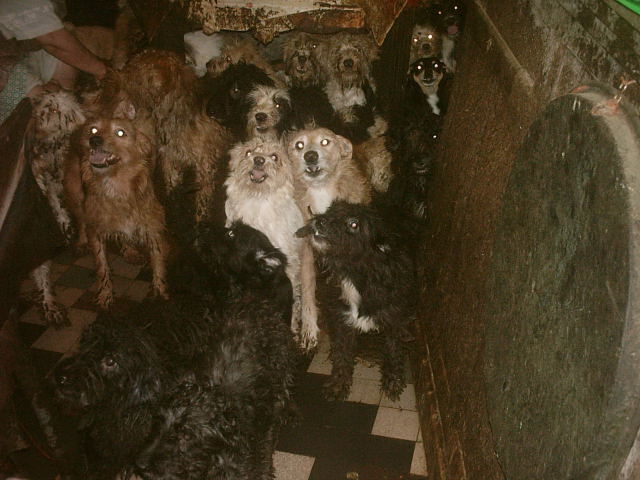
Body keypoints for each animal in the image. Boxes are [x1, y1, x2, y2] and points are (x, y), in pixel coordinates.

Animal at [66, 99, 169, 309]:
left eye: (120, 133)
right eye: (94, 130)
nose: (94, 140)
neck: (117, 186)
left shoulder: (154, 228)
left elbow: (158, 262)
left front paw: (160, 293)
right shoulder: (95, 231)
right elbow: (102, 267)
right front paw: (105, 295)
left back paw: (130, 251)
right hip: (75, 195)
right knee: (81, 221)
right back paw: (80, 243)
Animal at [287, 127, 373, 349]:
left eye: (325, 142)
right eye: (299, 145)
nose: (310, 155)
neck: (322, 191)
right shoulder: (307, 249)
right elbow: (308, 288)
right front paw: (309, 329)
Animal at [295, 200, 417, 401]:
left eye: (354, 224)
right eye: (330, 210)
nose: (320, 221)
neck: (353, 274)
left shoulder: (391, 318)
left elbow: (392, 350)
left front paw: (393, 380)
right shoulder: (341, 319)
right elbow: (342, 354)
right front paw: (338, 383)